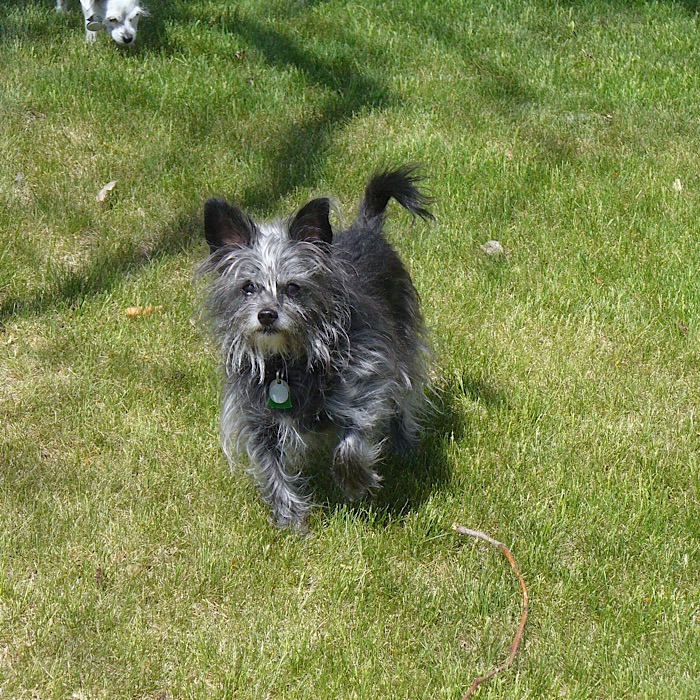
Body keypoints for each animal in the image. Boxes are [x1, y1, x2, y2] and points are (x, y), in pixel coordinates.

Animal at [200, 167, 434, 531]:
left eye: (293, 288)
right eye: (248, 287)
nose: (267, 315)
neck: (287, 362)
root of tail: (366, 228)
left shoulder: (364, 386)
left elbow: (351, 445)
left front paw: (354, 482)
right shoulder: (257, 419)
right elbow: (270, 468)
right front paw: (289, 518)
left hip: (404, 346)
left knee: (403, 398)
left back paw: (403, 444)